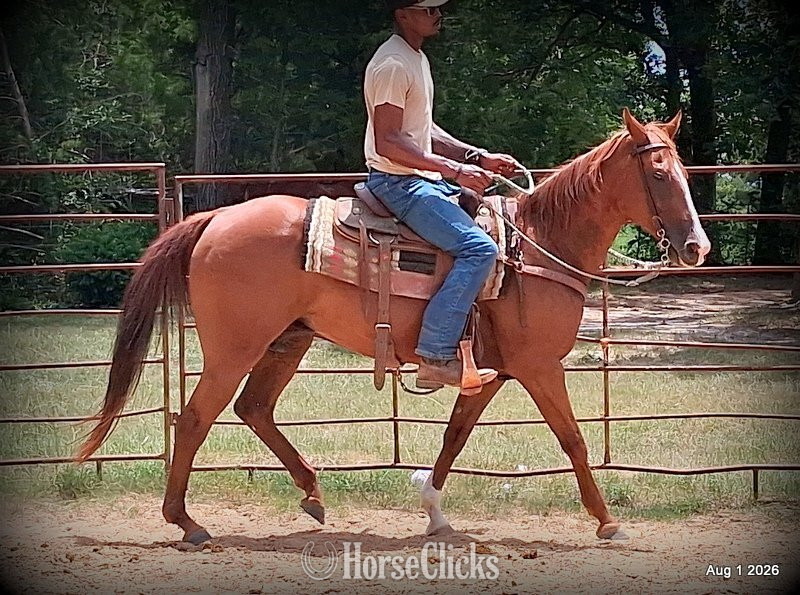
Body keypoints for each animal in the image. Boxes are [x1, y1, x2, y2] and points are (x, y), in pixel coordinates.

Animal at [77, 108, 710, 544]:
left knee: (254, 409)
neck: (537, 246)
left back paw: (312, 493)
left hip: (288, 340)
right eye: (658, 173)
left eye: (683, 170)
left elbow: (455, 438)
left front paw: (433, 511)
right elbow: (573, 438)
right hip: (236, 347)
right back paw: (186, 522)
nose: (697, 248)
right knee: (194, 419)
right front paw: (608, 522)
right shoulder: (538, 367)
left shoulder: (491, 372)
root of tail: (213, 219)